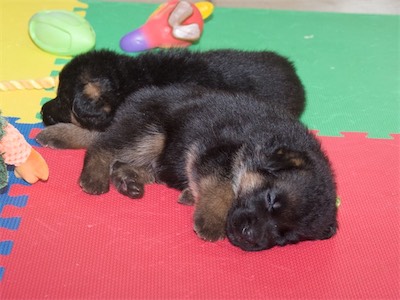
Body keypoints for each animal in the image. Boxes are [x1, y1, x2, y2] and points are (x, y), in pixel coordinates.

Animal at [37, 86, 338, 251]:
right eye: (271, 199)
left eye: (285, 238)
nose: (250, 239)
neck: (267, 141)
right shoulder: (215, 152)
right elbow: (223, 189)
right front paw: (211, 220)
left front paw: (192, 197)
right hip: (151, 132)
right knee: (101, 146)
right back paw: (95, 176)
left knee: (125, 158)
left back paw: (128, 179)